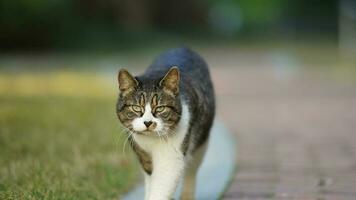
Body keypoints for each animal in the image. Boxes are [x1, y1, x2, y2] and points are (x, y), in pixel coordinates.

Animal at [116, 47, 214, 199]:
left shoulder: (172, 156)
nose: (148, 122)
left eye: (160, 108)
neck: (151, 141)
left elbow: (161, 187)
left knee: (192, 170)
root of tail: (183, 47)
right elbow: (150, 182)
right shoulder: (143, 156)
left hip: (201, 142)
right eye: (136, 107)